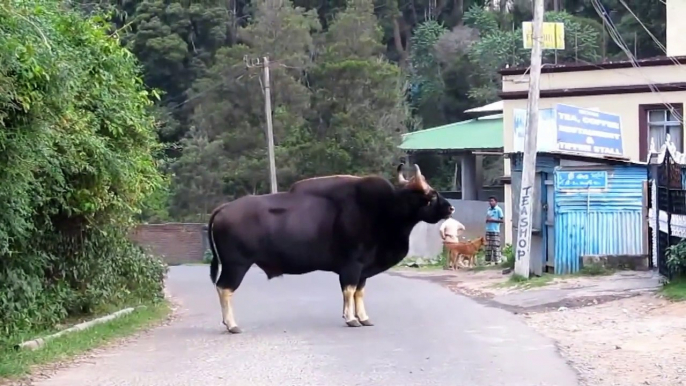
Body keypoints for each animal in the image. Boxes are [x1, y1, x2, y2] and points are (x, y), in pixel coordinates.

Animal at [210, 163, 456, 332]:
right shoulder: (352, 265)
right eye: (432, 195)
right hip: (236, 265)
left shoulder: (363, 269)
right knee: (224, 288)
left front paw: (364, 318)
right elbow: (348, 290)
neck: (384, 210)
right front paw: (351, 319)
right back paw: (232, 325)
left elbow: (359, 292)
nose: (451, 207)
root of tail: (223, 208)